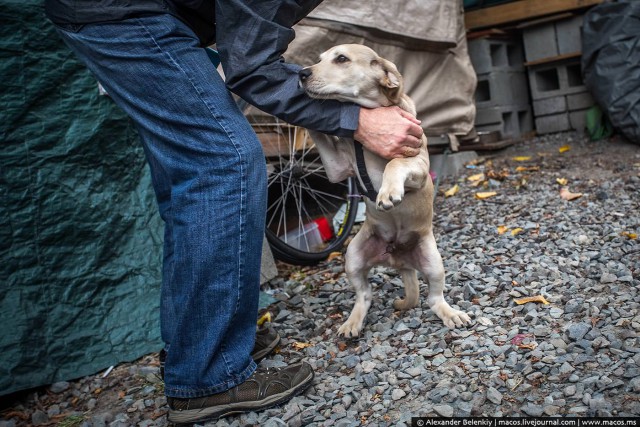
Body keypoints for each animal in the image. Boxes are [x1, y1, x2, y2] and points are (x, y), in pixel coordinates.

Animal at [298, 44, 470, 338]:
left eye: (341, 58)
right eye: (319, 59)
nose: (302, 74)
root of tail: (400, 262)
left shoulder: (418, 164)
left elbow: (394, 162)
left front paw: (388, 192)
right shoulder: (337, 169)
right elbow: (320, 137)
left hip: (433, 261)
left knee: (434, 298)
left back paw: (451, 314)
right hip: (353, 255)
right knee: (364, 295)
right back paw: (352, 322)